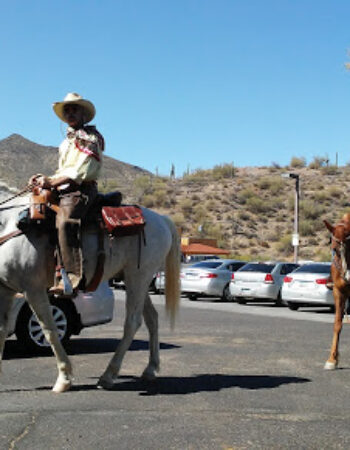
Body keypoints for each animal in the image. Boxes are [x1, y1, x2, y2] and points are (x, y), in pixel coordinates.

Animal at [0, 192, 180, 392]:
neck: (8, 223)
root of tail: (162, 220)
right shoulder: (6, 290)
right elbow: (2, 330)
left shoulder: (33, 288)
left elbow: (49, 329)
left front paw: (64, 379)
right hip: (135, 279)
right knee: (152, 319)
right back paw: (150, 369)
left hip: (138, 277)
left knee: (133, 322)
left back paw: (108, 376)